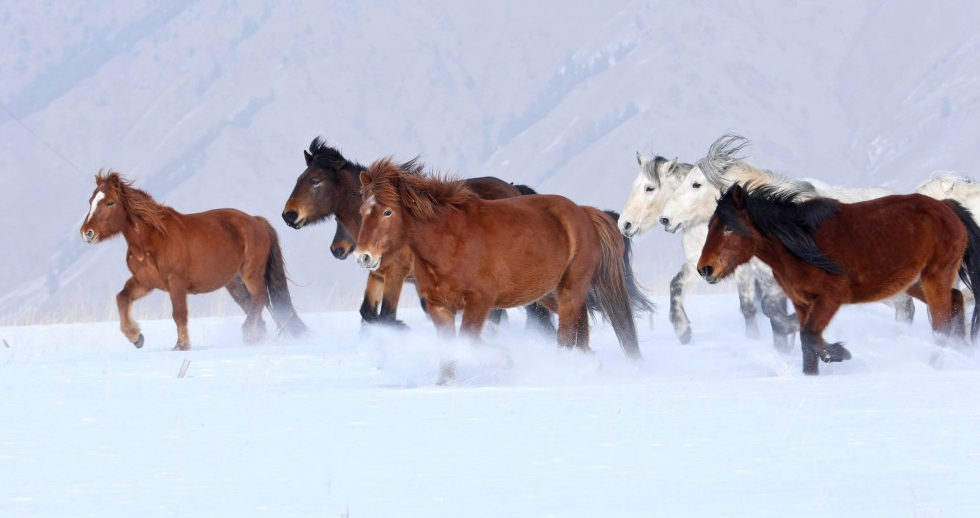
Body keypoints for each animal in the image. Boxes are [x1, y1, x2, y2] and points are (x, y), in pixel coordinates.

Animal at [79, 170, 307, 350]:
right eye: (90, 201)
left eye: (110, 202)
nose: (87, 233)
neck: (152, 239)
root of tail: (257, 221)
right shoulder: (145, 281)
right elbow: (122, 298)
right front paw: (136, 337)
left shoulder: (176, 282)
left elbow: (179, 313)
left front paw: (182, 345)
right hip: (233, 282)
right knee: (251, 303)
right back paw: (256, 337)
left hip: (251, 273)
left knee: (260, 297)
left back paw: (248, 333)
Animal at [281, 137, 552, 331]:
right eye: (299, 179)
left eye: (315, 181)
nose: (289, 215)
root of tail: (515, 190)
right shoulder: (378, 273)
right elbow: (368, 313)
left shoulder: (397, 272)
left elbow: (387, 316)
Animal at [354, 157, 651, 380]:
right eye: (361, 211)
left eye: (388, 212)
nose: (363, 256)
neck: (448, 242)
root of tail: (584, 212)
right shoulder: (439, 306)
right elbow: (451, 348)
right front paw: (445, 383)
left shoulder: (479, 302)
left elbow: (468, 340)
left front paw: (503, 360)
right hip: (547, 293)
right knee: (581, 320)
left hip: (570, 288)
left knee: (567, 334)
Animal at [698, 183, 980, 375]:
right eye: (710, 226)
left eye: (729, 227)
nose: (705, 269)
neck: (799, 241)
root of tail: (947, 206)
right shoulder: (802, 303)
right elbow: (806, 344)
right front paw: (811, 374)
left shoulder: (830, 298)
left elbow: (809, 336)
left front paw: (839, 353)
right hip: (916, 282)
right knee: (955, 302)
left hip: (935, 276)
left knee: (941, 324)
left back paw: (936, 366)